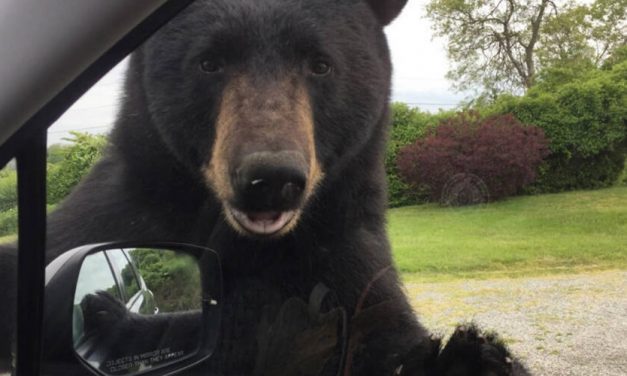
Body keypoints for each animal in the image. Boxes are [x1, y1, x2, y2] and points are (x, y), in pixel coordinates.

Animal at [0, 0, 528, 374]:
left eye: (320, 64)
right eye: (209, 62)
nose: (270, 179)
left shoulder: (345, 258)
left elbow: (380, 333)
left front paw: (471, 357)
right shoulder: (115, 215)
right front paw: (107, 313)